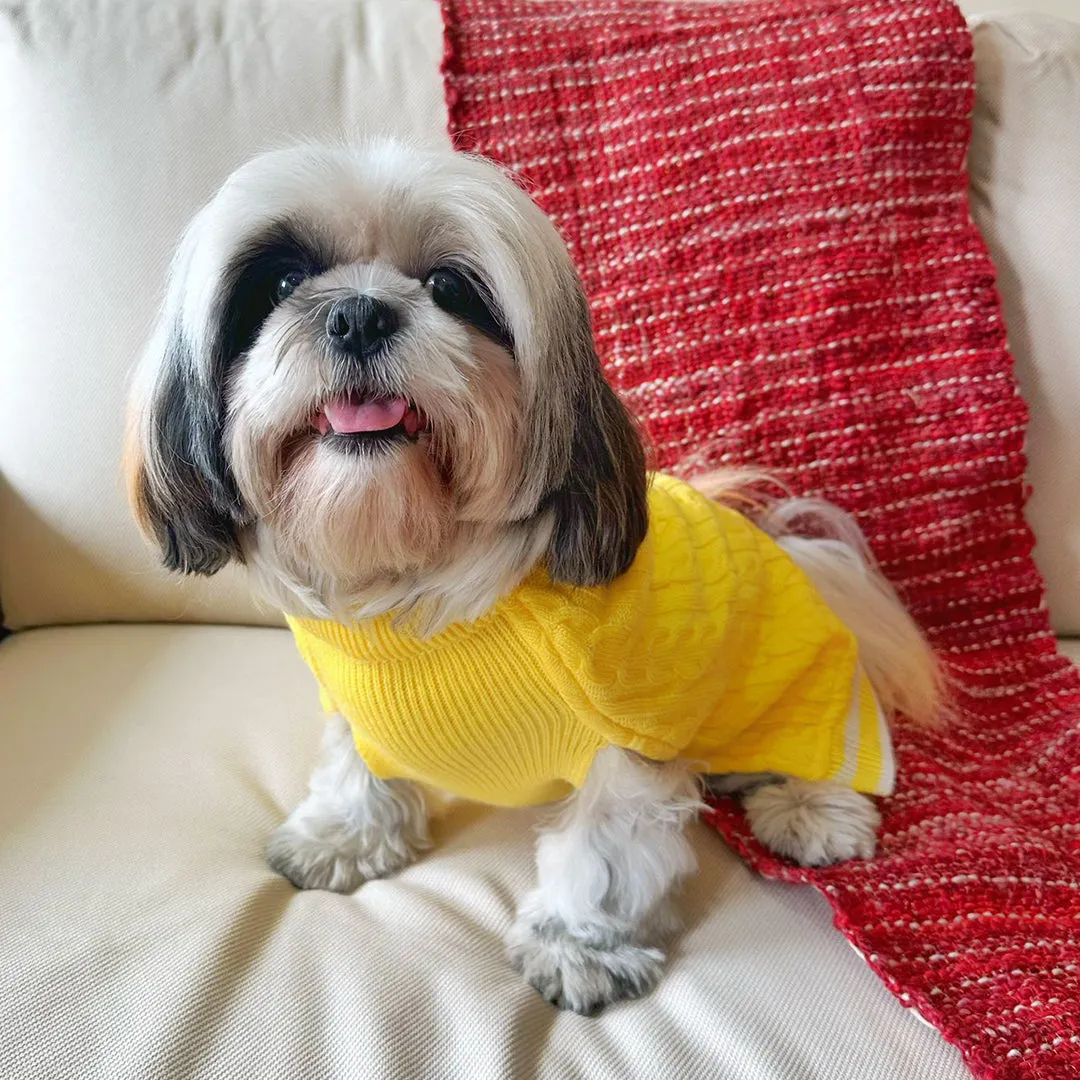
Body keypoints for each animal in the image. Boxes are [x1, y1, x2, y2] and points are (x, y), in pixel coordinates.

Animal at [124, 139, 937, 1015]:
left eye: (451, 289)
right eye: (279, 284)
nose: (359, 313)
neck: (422, 596)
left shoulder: (623, 742)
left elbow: (603, 852)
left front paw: (579, 944)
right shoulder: (355, 702)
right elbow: (354, 766)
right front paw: (345, 833)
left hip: (799, 691)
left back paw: (812, 806)